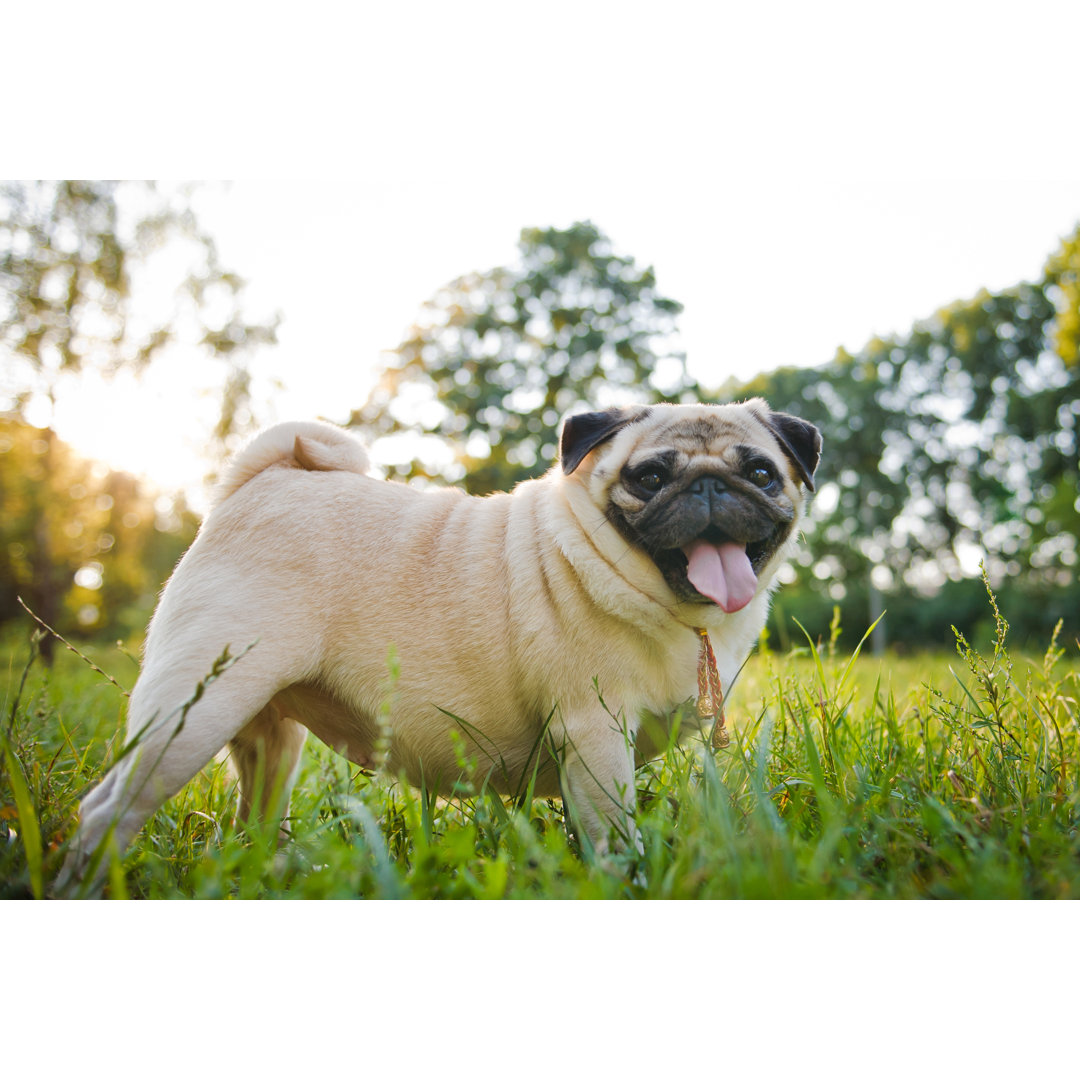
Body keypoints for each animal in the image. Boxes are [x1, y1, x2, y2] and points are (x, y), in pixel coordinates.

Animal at [56, 401, 816, 889]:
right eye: (651, 477)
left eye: (761, 474)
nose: (711, 485)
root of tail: (263, 480)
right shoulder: (595, 735)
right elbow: (612, 835)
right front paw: (622, 881)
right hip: (192, 712)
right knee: (106, 811)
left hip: (267, 738)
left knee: (253, 817)